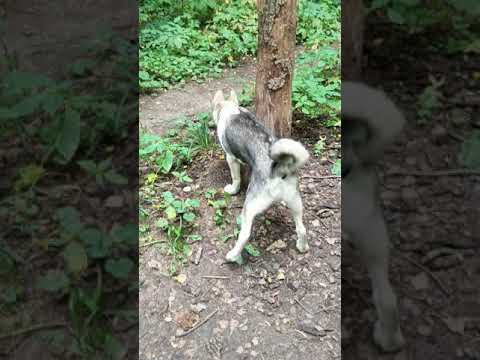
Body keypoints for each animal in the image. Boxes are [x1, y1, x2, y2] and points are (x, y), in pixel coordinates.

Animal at [212, 89, 310, 264]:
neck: (231, 110)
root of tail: (278, 169)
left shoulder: (230, 158)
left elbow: (235, 178)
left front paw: (232, 189)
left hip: (249, 208)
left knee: (245, 235)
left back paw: (232, 255)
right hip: (296, 203)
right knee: (302, 228)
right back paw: (302, 246)